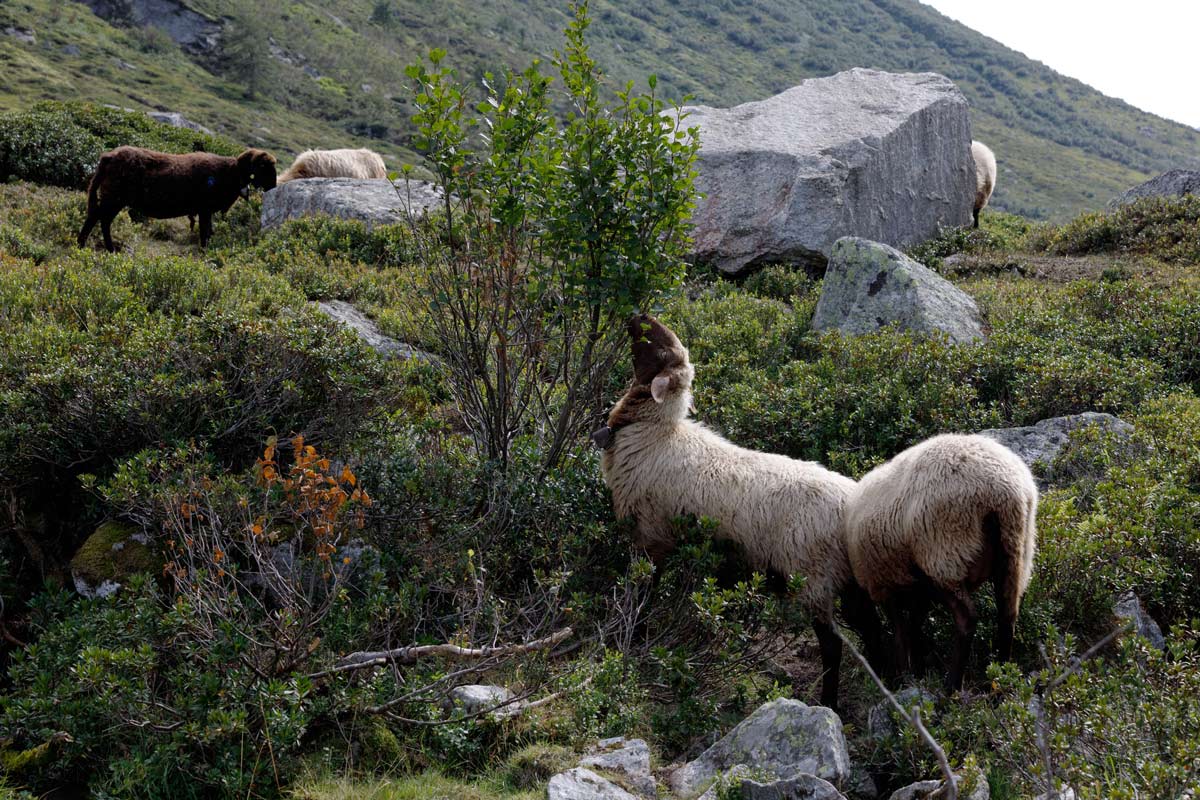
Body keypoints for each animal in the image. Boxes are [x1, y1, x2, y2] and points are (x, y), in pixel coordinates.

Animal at [76, 145, 277, 251]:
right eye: (262, 166)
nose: (273, 187)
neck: (231, 172)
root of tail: (108, 157)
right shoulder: (204, 210)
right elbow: (205, 233)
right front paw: (204, 252)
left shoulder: (206, 212)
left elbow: (209, 232)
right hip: (114, 198)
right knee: (99, 219)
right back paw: (91, 246)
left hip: (114, 199)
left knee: (100, 219)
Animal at [597, 311, 888, 705]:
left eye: (661, 351)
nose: (639, 315)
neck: (653, 434)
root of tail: (853, 503)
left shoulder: (651, 535)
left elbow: (645, 592)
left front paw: (636, 637)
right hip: (846, 576)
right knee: (872, 628)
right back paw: (891, 681)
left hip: (814, 574)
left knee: (833, 644)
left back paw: (829, 702)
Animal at [840, 434, 1036, 690]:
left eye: (853, 618)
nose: (878, 667)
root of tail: (1003, 491)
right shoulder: (918, 589)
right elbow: (914, 625)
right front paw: (917, 670)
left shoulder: (885, 585)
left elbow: (900, 630)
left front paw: (905, 675)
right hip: (1015, 553)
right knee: (1007, 614)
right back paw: (1001, 680)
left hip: (944, 555)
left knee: (966, 619)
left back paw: (951, 686)